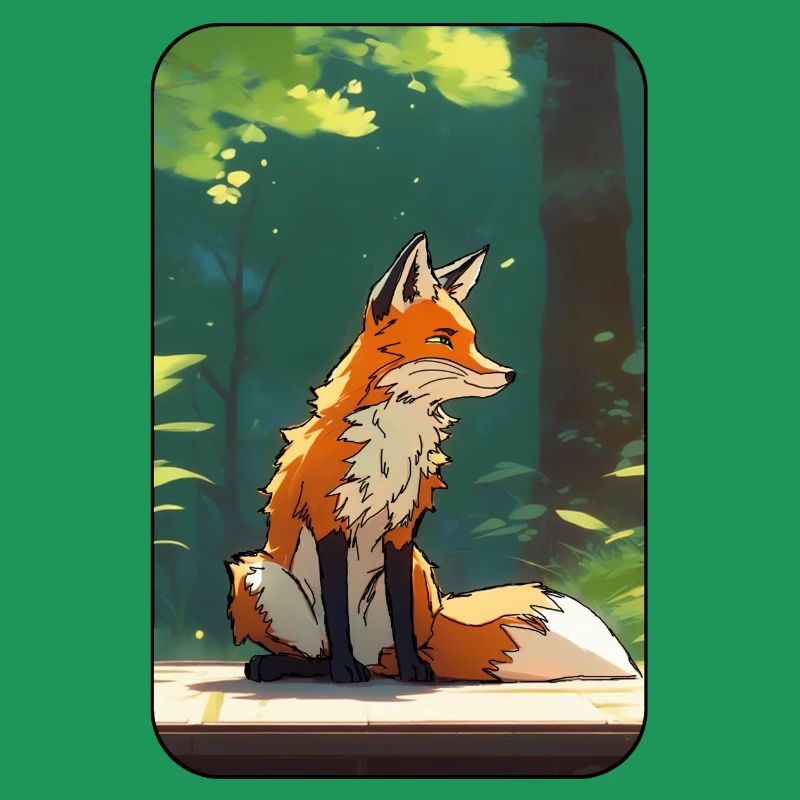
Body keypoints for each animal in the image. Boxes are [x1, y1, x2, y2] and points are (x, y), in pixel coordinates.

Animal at [226, 233, 639, 683]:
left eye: (472, 339)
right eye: (442, 340)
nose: (509, 374)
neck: (395, 439)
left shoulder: (402, 530)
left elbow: (402, 618)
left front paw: (413, 669)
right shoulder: (328, 522)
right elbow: (337, 613)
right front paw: (344, 670)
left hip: (416, 571)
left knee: (382, 653)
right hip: (255, 576)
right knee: (319, 650)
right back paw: (296, 665)